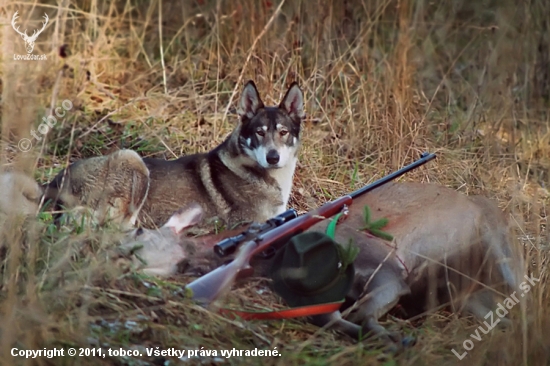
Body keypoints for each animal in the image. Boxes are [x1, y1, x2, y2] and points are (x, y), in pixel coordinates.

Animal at [42, 81, 306, 229]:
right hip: (132, 160)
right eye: (259, 133)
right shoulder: (251, 221)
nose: (273, 157)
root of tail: (54, 182)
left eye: (283, 132)